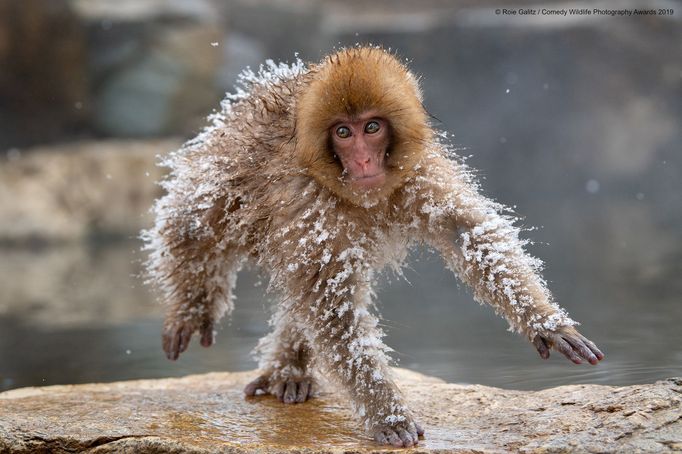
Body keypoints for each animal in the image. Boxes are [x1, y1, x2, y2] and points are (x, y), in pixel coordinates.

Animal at [143, 46, 600, 446]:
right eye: (343, 132)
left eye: (372, 128)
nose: (363, 161)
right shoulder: (308, 200)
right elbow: (329, 304)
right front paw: (387, 413)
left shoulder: (418, 174)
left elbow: (467, 234)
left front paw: (546, 322)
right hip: (224, 160)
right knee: (194, 223)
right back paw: (196, 305)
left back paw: (289, 366)